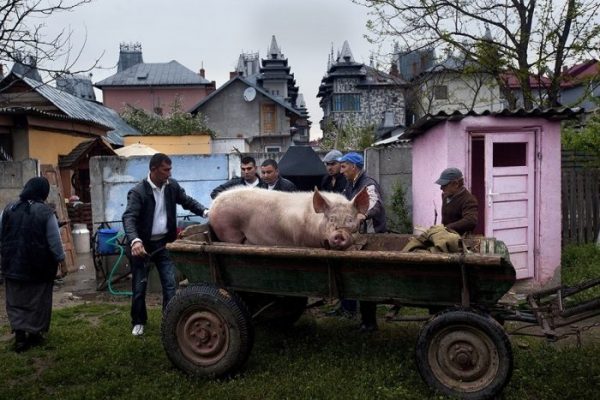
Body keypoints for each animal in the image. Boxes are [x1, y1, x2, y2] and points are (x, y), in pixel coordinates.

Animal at [210, 186, 370, 248]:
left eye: (351, 219)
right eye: (331, 218)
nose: (339, 234)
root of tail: (213, 204)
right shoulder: (303, 241)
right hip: (228, 230)